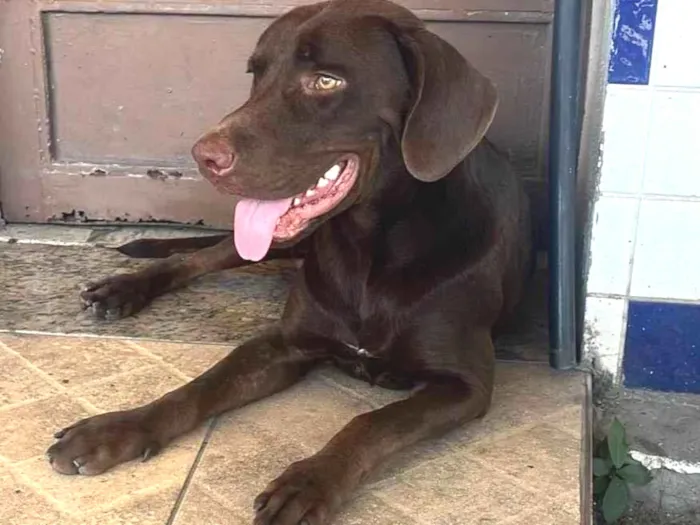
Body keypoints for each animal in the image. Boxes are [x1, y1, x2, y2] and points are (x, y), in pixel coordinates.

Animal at [46, 2, 532, 520]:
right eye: (255, 74)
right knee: (197, 259)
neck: (368, 248)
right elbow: (199, 386)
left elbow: (373, 422)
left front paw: (310, 481)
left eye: (326, 81)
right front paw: (117, 428)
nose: (203, 156)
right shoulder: (283, 343)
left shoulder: (465, 385)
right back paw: (123, 289)